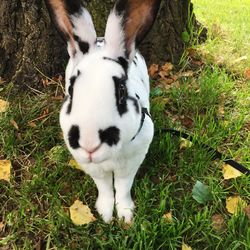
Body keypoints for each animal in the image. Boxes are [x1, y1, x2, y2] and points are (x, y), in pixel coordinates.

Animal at [45, 0, 161, 223]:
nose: (89, 144)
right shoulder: (93, 168)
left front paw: (125, 215)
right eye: (71, 89)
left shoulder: (131, 162)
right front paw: (105, 214)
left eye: (122, 90)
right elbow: (105, 187)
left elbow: (123, 187)